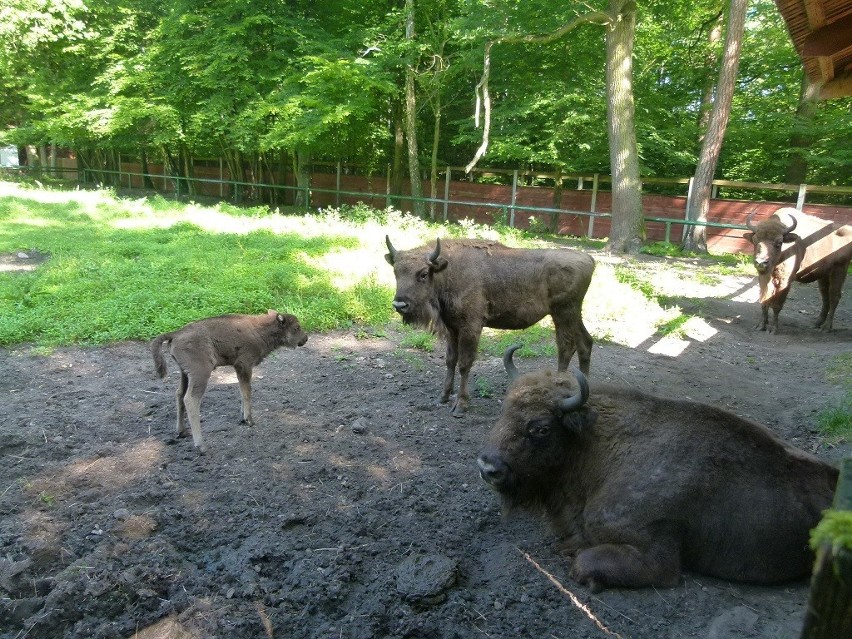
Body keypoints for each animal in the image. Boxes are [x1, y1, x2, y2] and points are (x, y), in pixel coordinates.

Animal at [151, 312, 308, 456]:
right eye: (296, 327)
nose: (305, 338)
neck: (260, 329)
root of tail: (176, 334)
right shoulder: (244, 365)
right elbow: (247, 392)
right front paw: (249, 420)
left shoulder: (239, 368)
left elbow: (242, 390)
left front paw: (242, 416)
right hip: (200, 375)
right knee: (190, 400)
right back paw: (201, 446)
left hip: (184, 374)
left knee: (179, 394)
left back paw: (182, 431)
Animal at [384, 238, 592, 418]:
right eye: (396, 272)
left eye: (423, 274)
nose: (400, 305)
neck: (450, 270)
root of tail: (589, 259)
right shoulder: (452, 329)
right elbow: (450, 361)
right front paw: (443, 397)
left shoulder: (471, 327)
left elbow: (464, 364)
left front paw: (461, 405)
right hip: (574, 314)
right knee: (585, 343)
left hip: (563, 313)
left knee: (566, 347)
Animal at [480, 348, 840, 592]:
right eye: (504, 409)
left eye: (540, 428)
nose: (487, 467)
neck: (594, 446)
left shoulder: (655, 555)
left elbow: (586, 562)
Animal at [744, 206, 848, 336]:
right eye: (755, 241)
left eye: (779, 243)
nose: (761, 262)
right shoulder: (763, 278)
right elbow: (764, 301)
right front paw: (760, 325)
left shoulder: (785, 281)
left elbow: (777, 304)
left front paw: (772, 329)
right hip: (823, 275)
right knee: (825, 297)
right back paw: (816, 323)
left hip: (839, 269)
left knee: (834, 296)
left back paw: (826, 327)